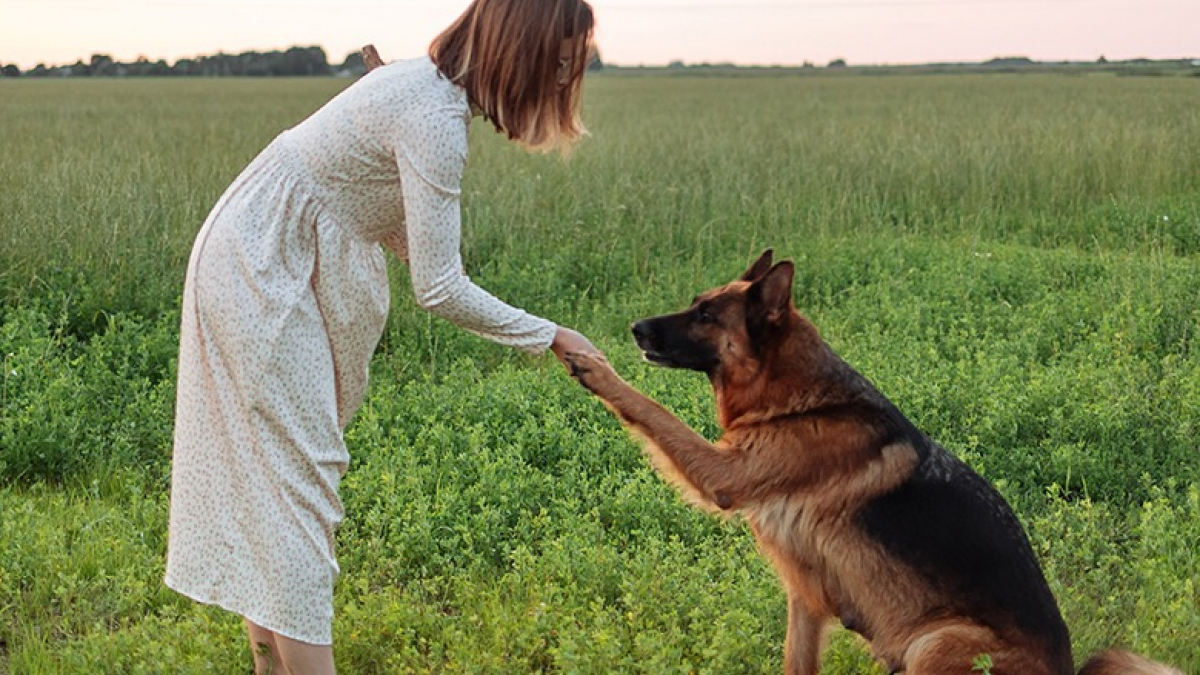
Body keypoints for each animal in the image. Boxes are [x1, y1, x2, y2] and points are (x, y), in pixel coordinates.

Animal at [564, 248, 1180, 672]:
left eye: (707, 316)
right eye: (696, 304)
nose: (636, 329)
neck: (797, 401)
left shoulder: (726, 473)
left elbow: (653, 411)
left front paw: (593, 366)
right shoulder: (806, 599)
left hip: (936, 642)